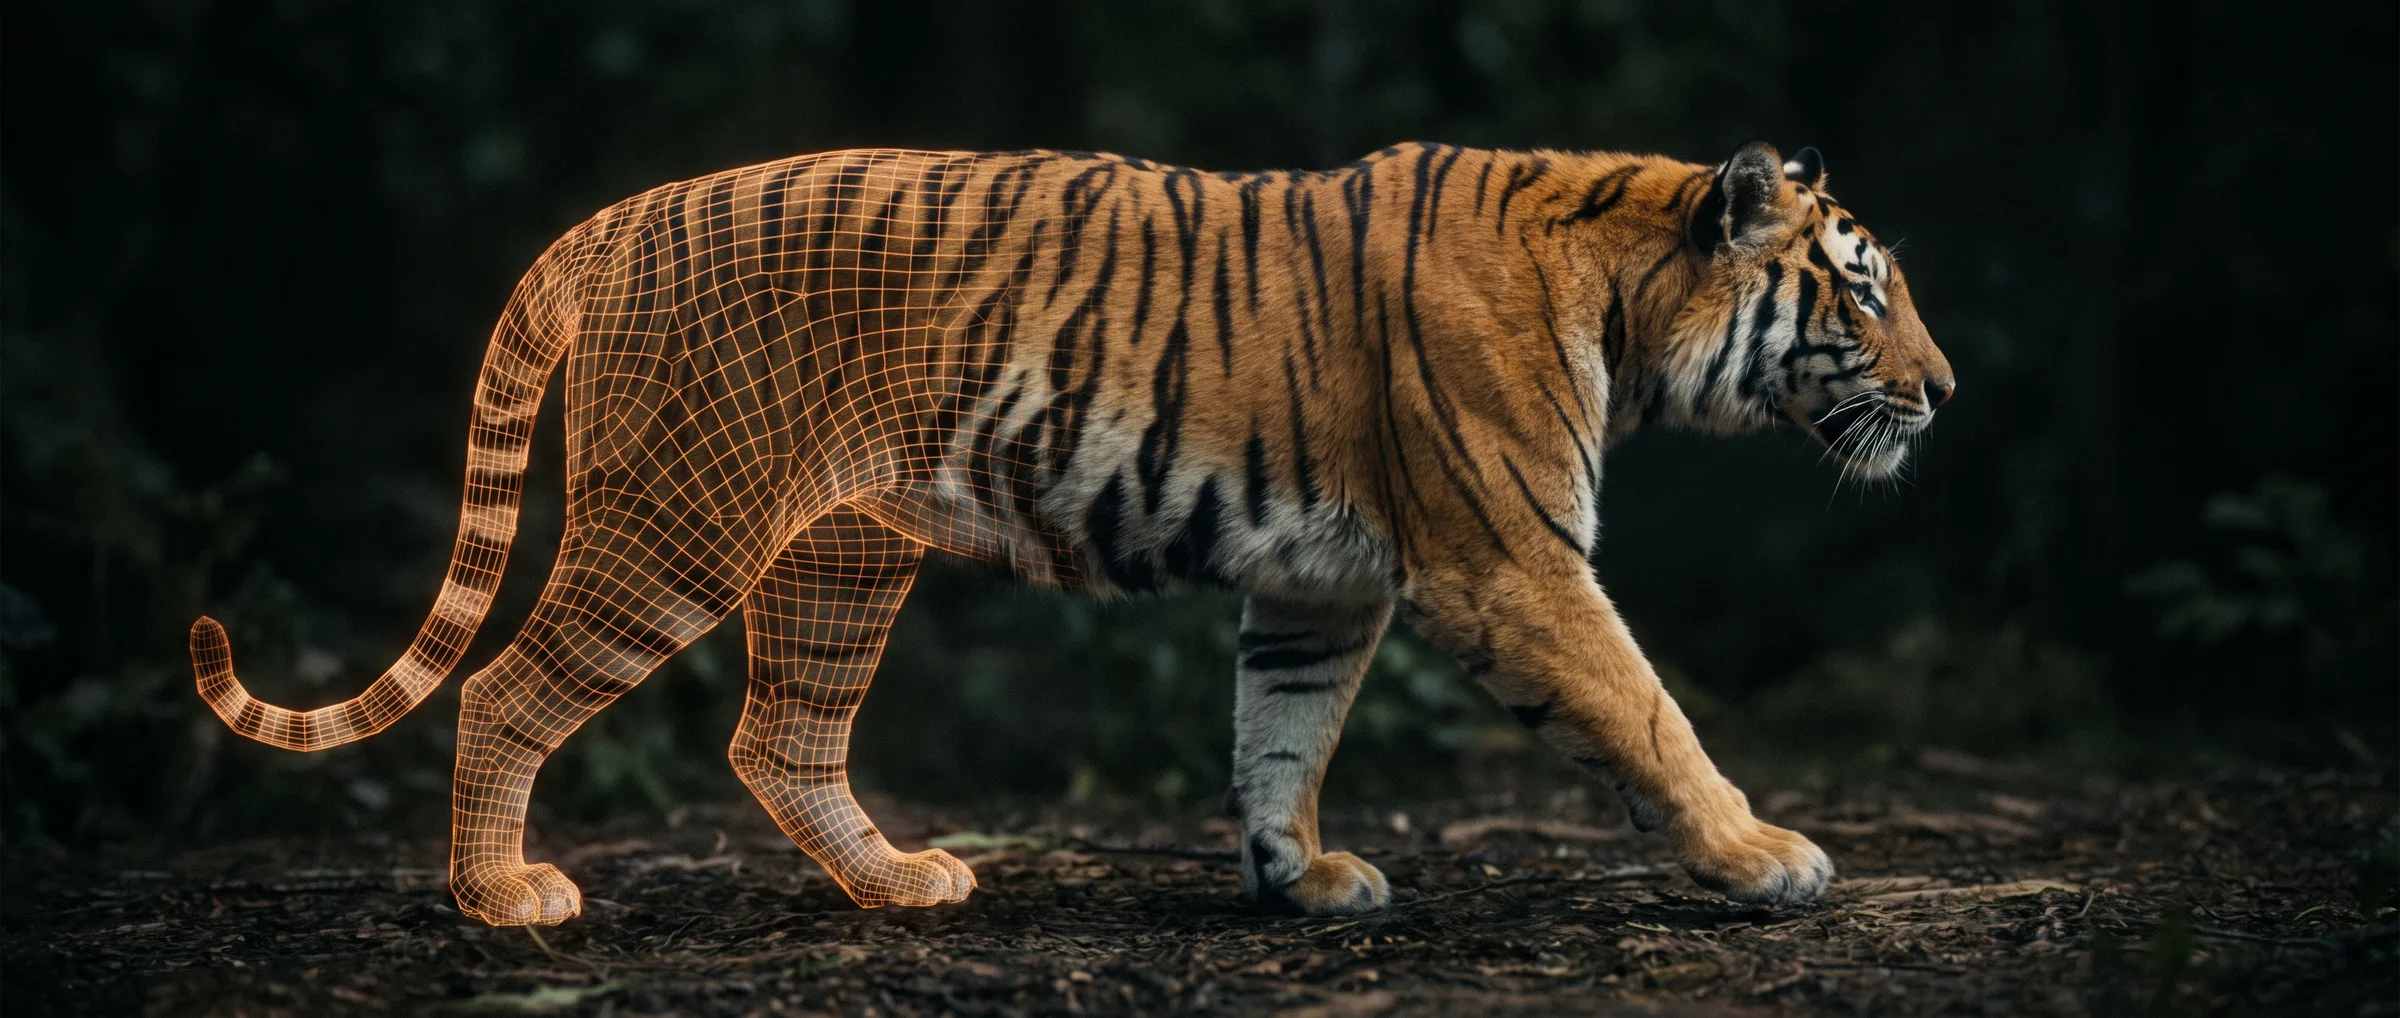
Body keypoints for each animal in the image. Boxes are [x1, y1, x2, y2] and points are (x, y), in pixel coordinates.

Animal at [190, 139, 1954, 926]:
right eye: (1863, 291)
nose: (1945, 393)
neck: (1627, 296)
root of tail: (614, 218)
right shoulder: (1509, 564)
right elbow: (1650, 712)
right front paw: (1766, 854)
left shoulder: (1320, 587)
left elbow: (1281, 733)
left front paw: (1295, 872)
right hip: (683, 518)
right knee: (505, 692)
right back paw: (506, 896)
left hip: (843, 552)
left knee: (779, 736)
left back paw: (902, 883)